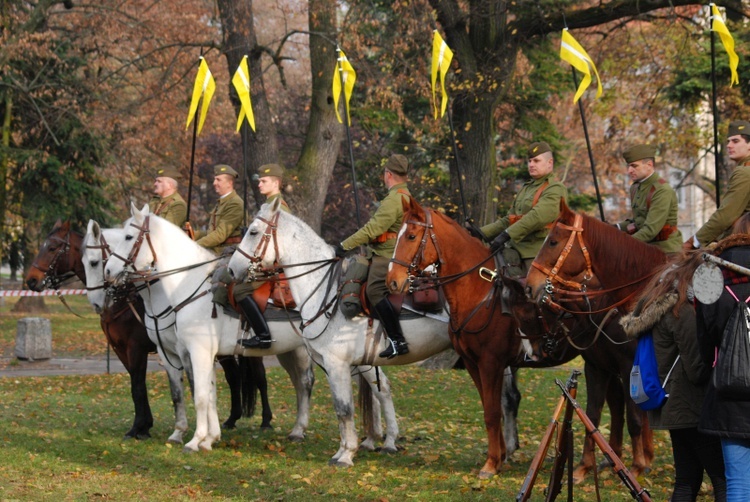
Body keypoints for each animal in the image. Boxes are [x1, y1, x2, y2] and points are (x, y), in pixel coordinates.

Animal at [24, 220, 274, 440]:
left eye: (53, 248)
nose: (31, 281)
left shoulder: (137, 348)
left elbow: (137, 385)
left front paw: (139, 428)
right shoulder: (121, 349)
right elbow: (137, 385)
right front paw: (144, 425)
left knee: (259, 377)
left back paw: (266, 421)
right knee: (233, 376)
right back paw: (231, 419)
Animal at [103, 202, 388, 452]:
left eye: (128, 236)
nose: (108, 271)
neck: (189, 285)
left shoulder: (196, 352)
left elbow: (201, 396)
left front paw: (195, 441)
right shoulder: (187, 354)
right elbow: (205, 393)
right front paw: (208, 438)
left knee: (377, 387)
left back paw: (376, 440)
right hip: (301, 352)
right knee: (312, 383)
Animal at [226, 199, 464, 466]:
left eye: (253, 232)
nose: (231, 270)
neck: (325, 291)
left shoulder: (337, 364)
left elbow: (344, 408)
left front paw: (346, 454)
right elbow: (348, 407)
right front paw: (347, 449)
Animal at [524, 200, 668, 478]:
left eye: (553, 242)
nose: (529, 286)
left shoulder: (628, 367)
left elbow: (634, 417)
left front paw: (636, 466)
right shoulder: (597, 368)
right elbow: (593, 413)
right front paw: (584, 466)